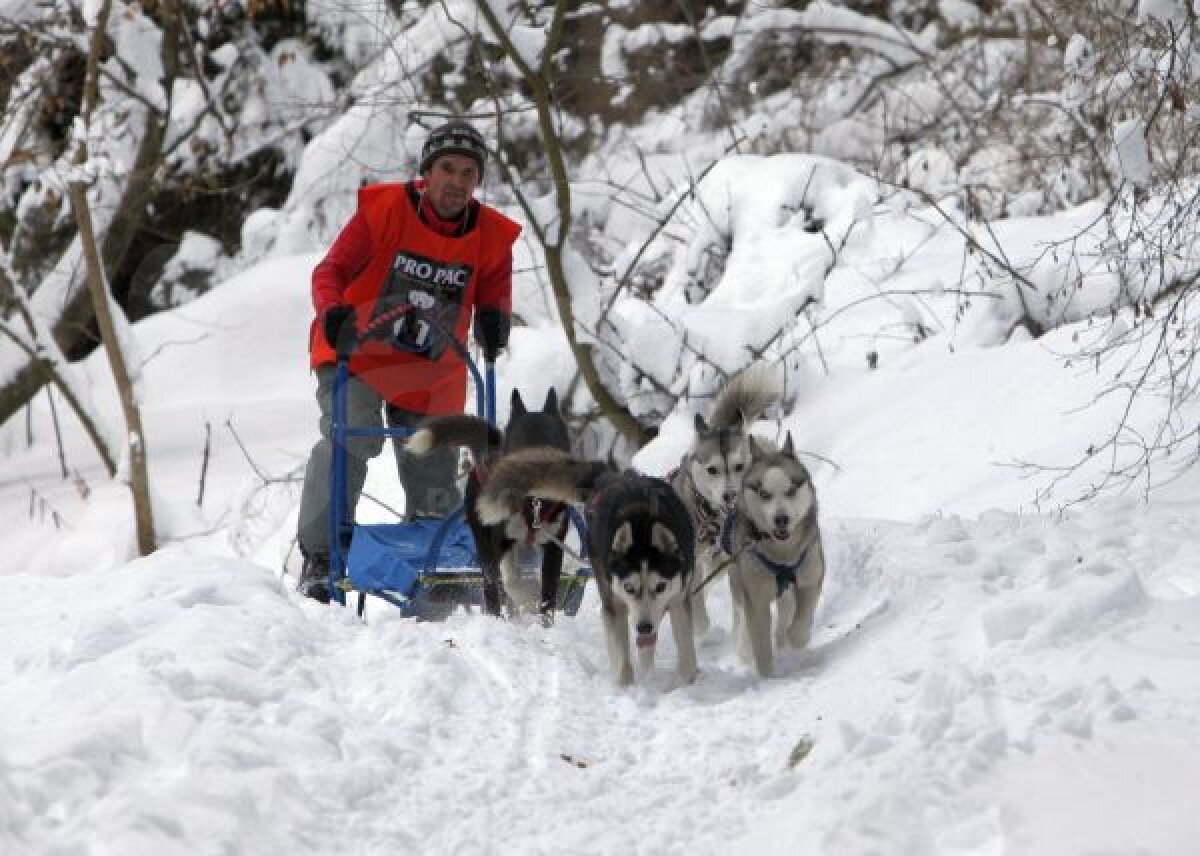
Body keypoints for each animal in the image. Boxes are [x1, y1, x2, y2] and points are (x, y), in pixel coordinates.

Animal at [405, 388, 568, 619]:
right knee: (494, 584)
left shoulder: (554, 547)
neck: (533, 503)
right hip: (484, 538)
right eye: (523, 441)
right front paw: (525, 600)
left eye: (554, 440)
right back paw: (498, 616)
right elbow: (507, 582)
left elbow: (548, 596)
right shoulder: (497, 544)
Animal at [477, 451, 700, 686]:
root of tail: (610, 476)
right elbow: (622, 658)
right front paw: (626, 688)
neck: (642, 523)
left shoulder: (678, 599)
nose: (644, 626)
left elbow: (686, 650)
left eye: (661, 586)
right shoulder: (614, 605)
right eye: (628, 588)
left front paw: (687, 682)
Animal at [720, 434, 825, 672]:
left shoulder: (810, 574)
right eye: (764, 494)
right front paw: (767, 675)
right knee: (743, 619)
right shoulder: (755, 596)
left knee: (787, 609)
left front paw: (797, 638)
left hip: (787, 590)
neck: (783, 554)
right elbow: (760, 641)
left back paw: (783, 638)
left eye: (791, 490)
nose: (781, 519)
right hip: (738, 579)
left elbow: (803, 617)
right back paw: (746, 648)